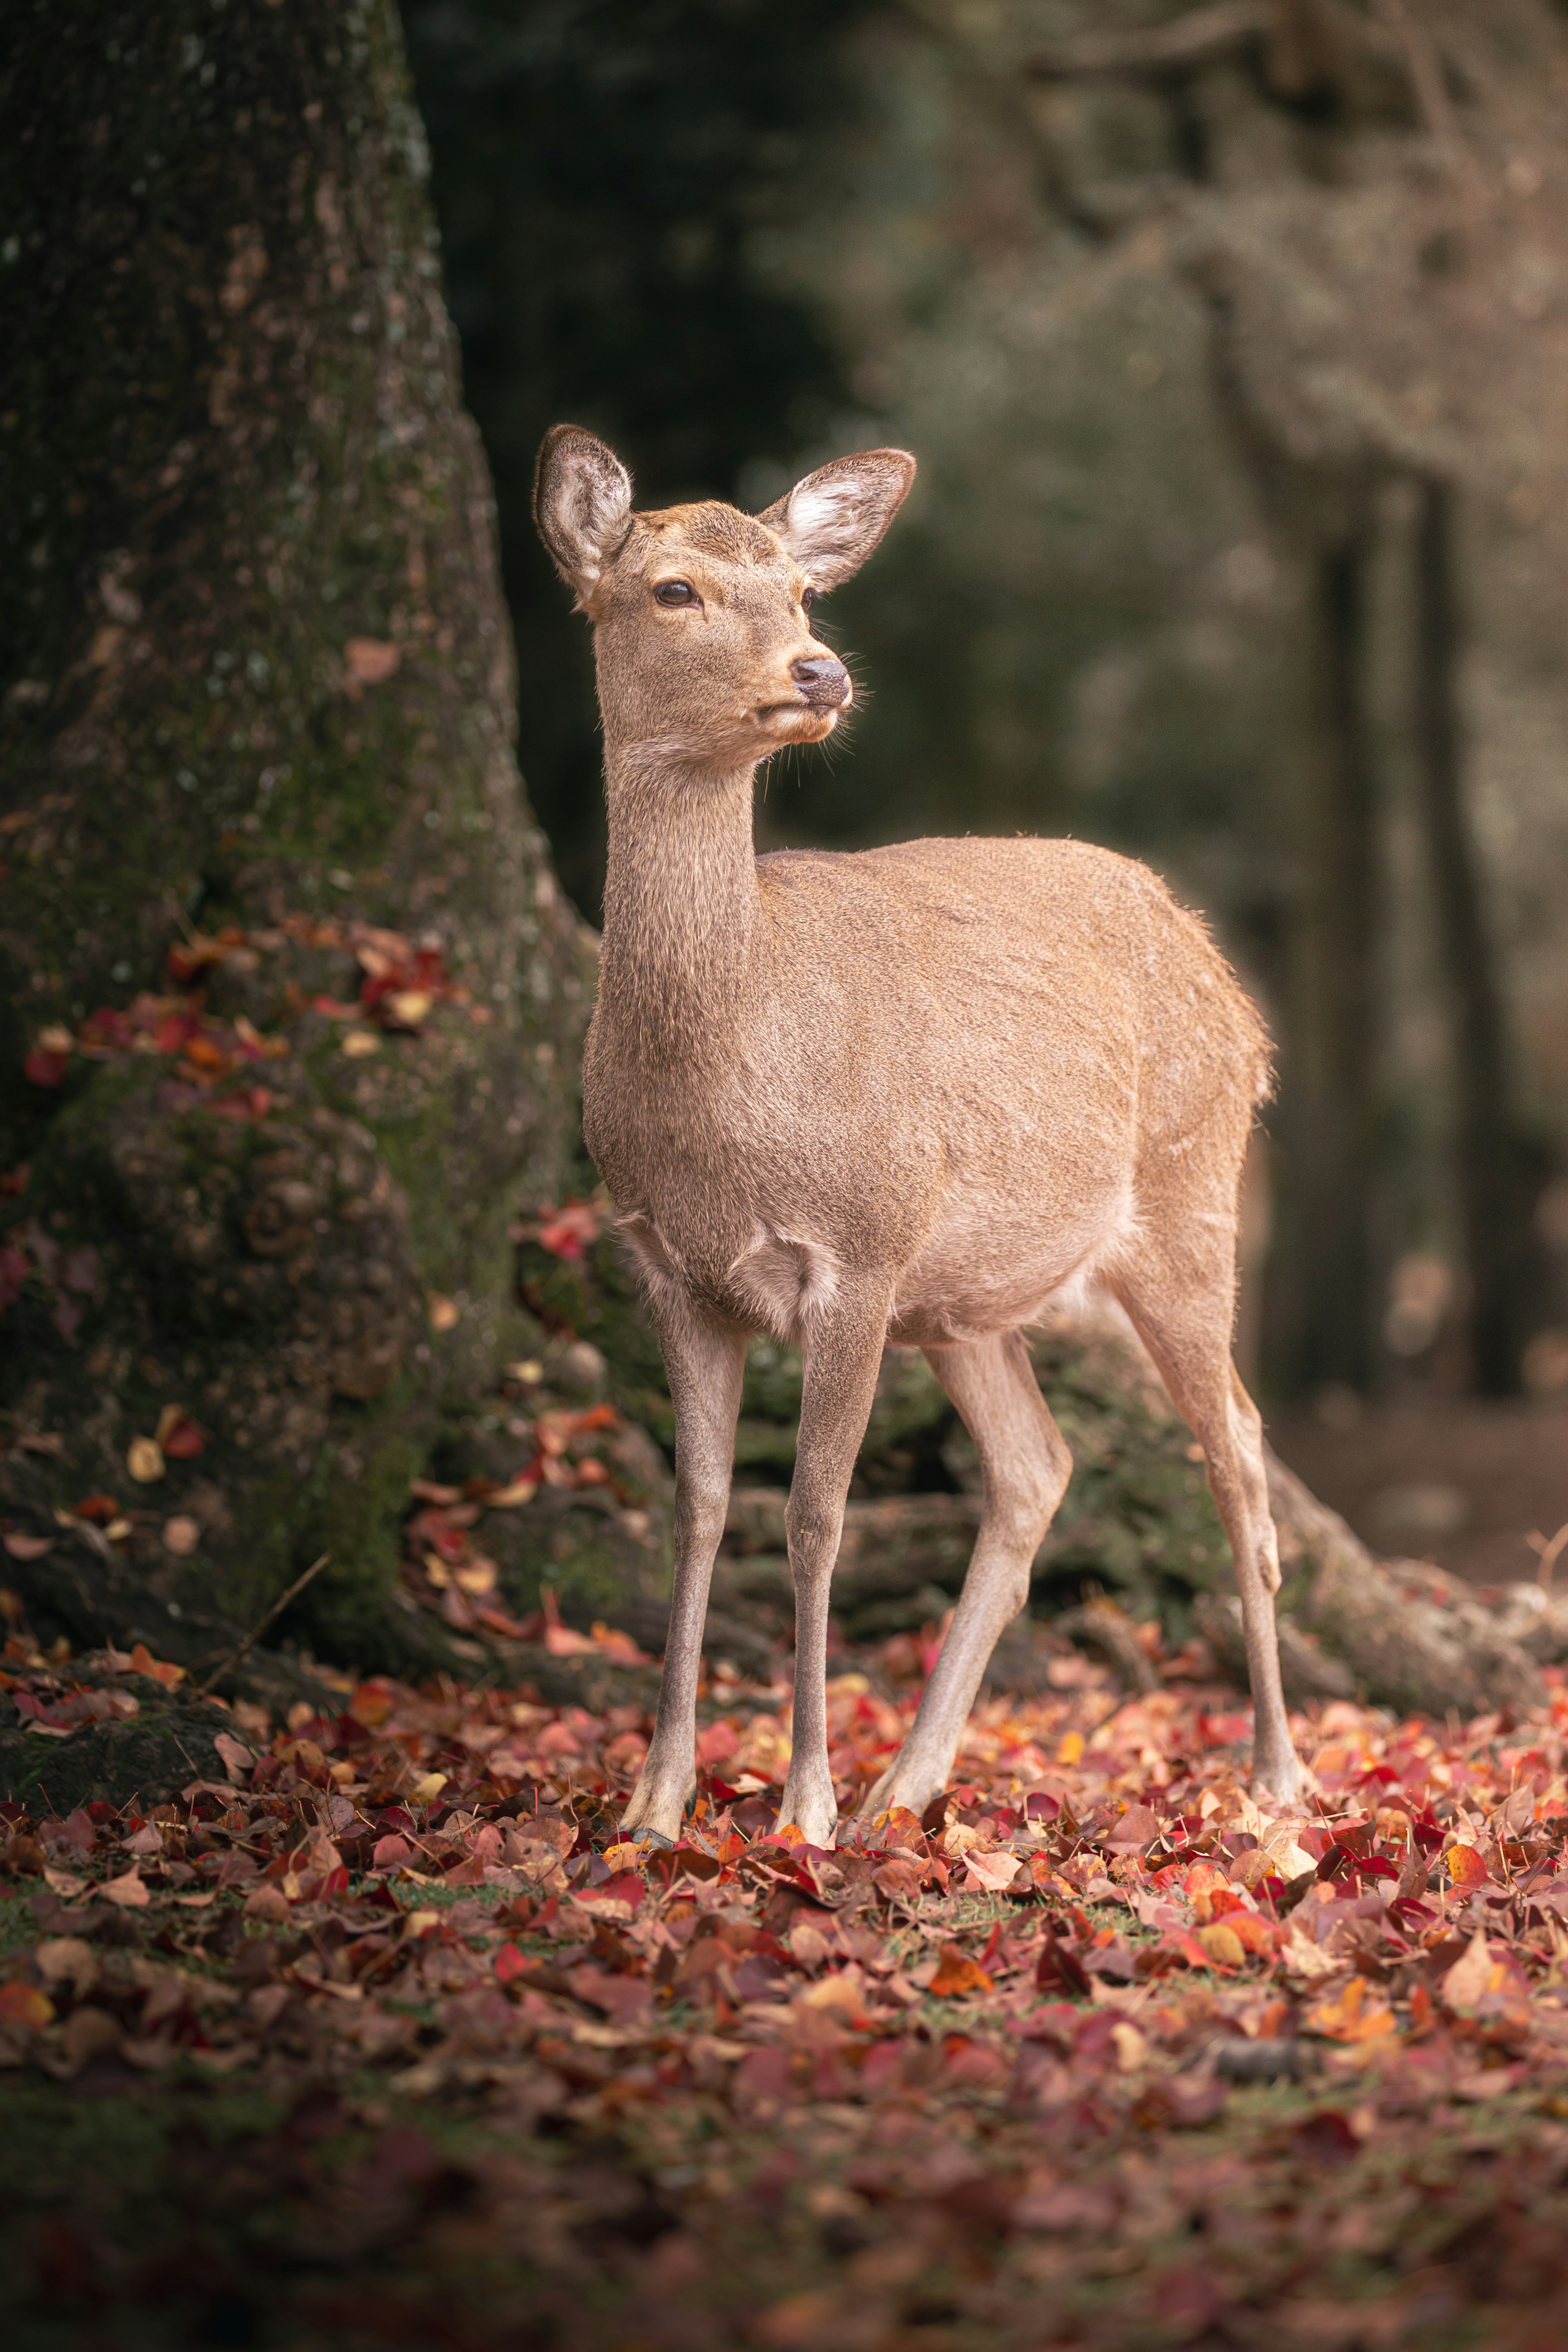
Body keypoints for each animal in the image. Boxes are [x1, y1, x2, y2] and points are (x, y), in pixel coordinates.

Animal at [533, 432, 1307, 1844]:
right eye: (671, 589)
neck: (724, 1080)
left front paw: (801, 1803)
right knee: (1037, 1467)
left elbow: (814, 1513)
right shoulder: (667, 1265)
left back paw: (1275, 1778)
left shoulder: (859, 1246)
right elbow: (698, 1509)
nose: (818, 672)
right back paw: (914, 1779)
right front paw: (655, 1804)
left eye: (801, 592)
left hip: (1191, 1199)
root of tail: (1233, 992)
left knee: (1235, 1443)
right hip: (966, 1302)